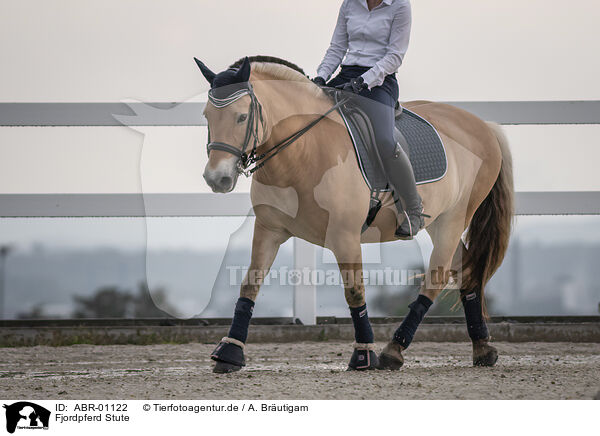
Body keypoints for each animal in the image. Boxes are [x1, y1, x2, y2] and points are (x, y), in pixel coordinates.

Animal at [195, 56, 512, 372]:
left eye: (241, 117)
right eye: (207, 116)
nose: (216, 178)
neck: (304, 151)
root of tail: (483, 126)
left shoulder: (344, 235)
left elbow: (355, 290)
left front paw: (363, 354)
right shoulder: (269, 230)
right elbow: (250, 284)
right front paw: (229, 351)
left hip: (454, 219)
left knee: (437, 276)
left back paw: (393, 350)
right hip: (439, 222)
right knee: (466, 270)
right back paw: (482, 348)